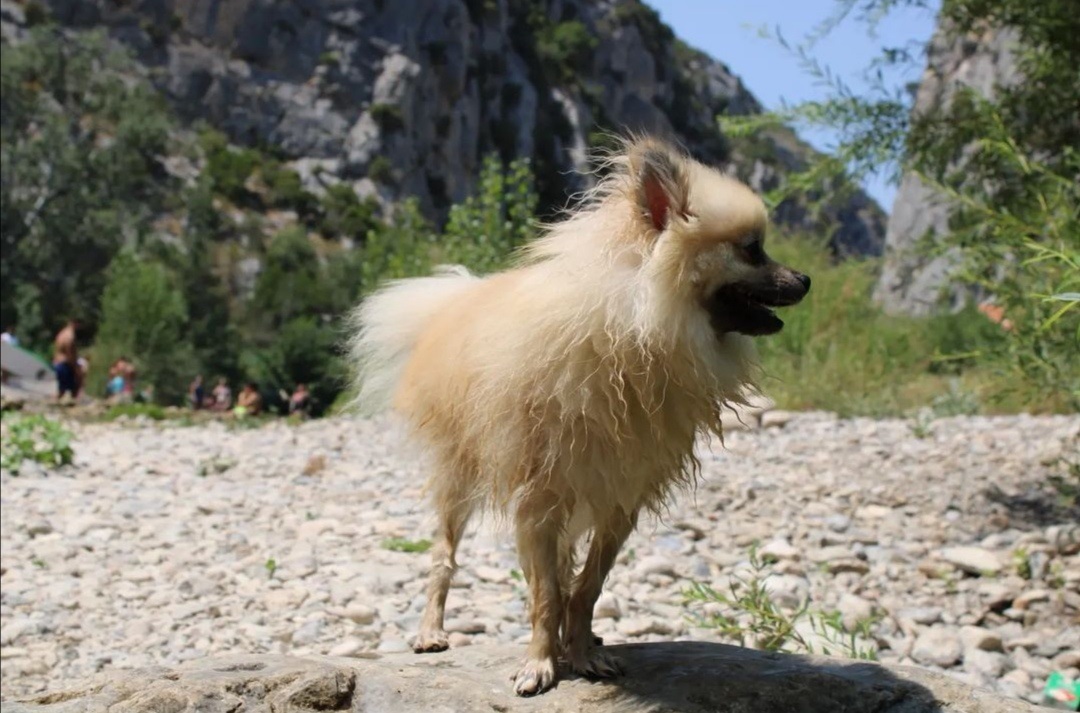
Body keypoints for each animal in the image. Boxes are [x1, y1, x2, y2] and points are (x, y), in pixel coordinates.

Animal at [352, 136, 812, 691]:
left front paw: (579, 651)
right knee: (444, 557)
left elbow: (586, 585)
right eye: (751, 249)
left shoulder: (619, 497)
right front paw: (540, 662)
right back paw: (431, 631)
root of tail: (450, 305)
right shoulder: (538, 501)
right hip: (457, 481)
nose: (807, 279)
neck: (635, 334)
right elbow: (546, 594)